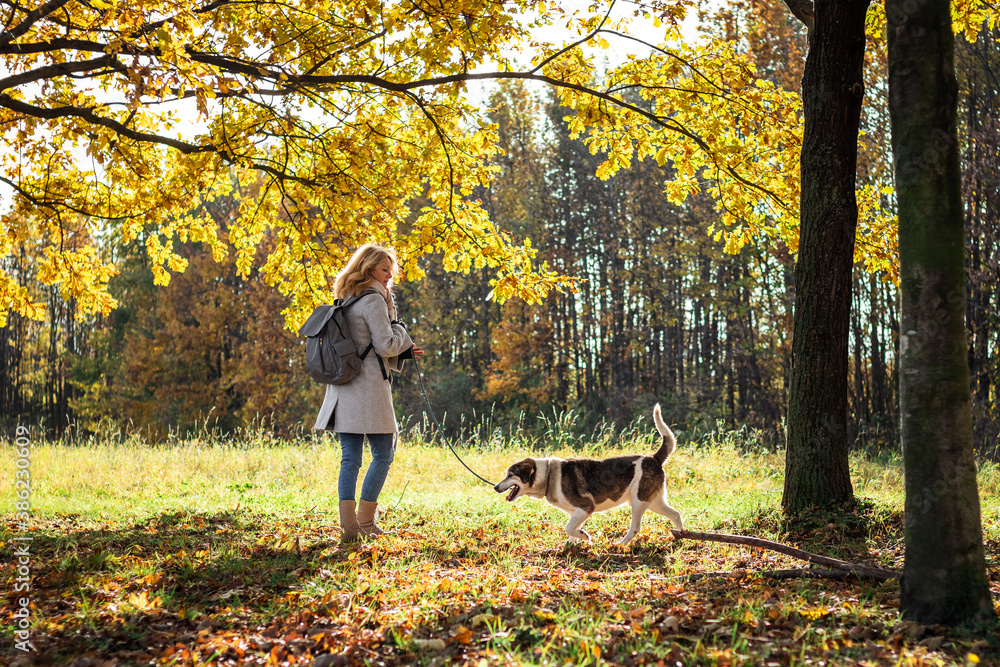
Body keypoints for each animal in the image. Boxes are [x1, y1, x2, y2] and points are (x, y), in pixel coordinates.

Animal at [494, 404, 684, 544]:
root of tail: (654, 458)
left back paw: (620, 545)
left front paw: (585, 536)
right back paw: (681, 536)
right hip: (653, 502)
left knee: (635, 528)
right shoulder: (576, 512)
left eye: (510, 475)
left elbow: (569, 528)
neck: (548, 475)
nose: (495, 487)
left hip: (639, 501)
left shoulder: (587, 506)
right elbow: (571, 530)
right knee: (676, 514)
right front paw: (570, 546)